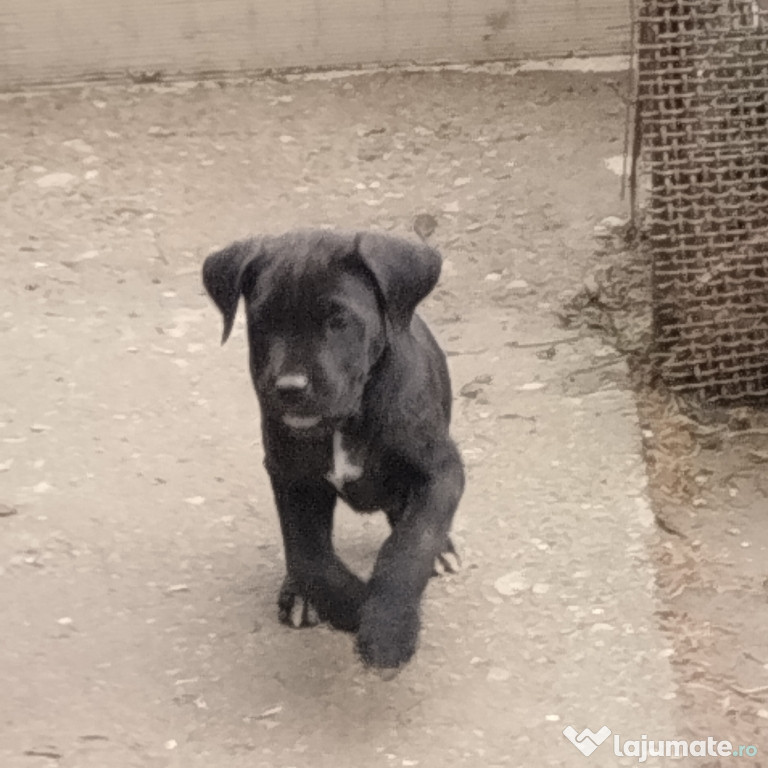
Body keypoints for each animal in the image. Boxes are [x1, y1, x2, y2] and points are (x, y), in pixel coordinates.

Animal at [202, 228, 462, 672]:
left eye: (338, 321)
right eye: (262, 321)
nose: (289, 388)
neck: (345, 423)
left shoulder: (440, 469)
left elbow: (411, 543)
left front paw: (388, 628)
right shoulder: (292, 480)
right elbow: (308, 557)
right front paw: (355, 608)